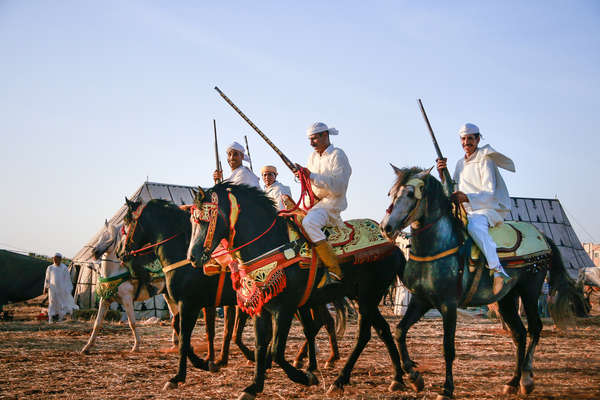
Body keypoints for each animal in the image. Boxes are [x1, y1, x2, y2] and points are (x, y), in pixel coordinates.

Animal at [81, 222, 178, 354]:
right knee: (176, 315)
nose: (94, 252)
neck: (115, 270)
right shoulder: (105, 299)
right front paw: (86, 347)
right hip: (167, 295)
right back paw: (175, 343)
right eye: (100, 235)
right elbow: (97, 323)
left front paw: (136, 346)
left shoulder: (127, 299)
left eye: (109, 237)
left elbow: (132, 323)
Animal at [117, 198, 344, 390]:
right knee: (314, 326)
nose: (120, 253)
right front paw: (207, 362)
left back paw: (321, 361)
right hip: (304, 302)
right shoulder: (202, 304)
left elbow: (190, 337)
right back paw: (311, 362)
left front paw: (180, 376)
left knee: (319, 324)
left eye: (126, 223)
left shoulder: (191, 303)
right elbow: (192, 331)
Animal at [185, 183, 406, 398]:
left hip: (369, 296)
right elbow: (260, 346)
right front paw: (254, 386)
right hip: (360, 297)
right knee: (381, 330)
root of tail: (393, 246)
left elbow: (276, 351)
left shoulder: (285, 308)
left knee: (363, 335)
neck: (273, 245)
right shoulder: (262, 308)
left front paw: (305, 377)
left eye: (204, 220)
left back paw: (340, 380)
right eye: (193, 220)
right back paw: (397, 378)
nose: (193, 257)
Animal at [380, 166, 584, 400]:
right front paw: (414, 377)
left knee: (534, 328)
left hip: (530, 292)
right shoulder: (421, 300)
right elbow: (399, 331)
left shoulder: (448, 305)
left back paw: (526, 379)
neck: (436, 247)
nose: (386, 227)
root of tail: (543, 237)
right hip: (507, 299)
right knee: (519, 333)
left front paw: (447, 389)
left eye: (411, 193)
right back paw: (512, 382)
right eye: (392, 193)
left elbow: (447, 347)